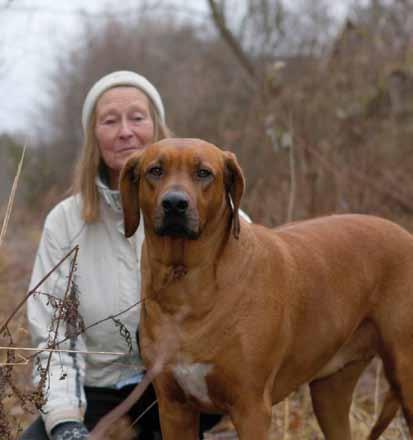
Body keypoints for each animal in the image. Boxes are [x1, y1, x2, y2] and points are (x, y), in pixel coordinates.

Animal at [116, 138, 412, 440]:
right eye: (155, 171)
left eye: (204, 173)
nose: (175, 204)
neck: (185, 283)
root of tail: (405, 233)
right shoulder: (173, 409)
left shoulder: (251, 408)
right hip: (330, 390)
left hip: (405, 371)